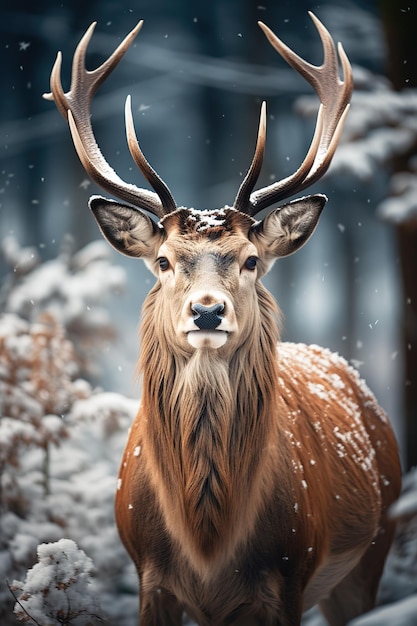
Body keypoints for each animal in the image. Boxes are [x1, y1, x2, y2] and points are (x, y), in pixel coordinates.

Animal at [44, 13, 402, 624]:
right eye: (164, 261)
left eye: (251, 259)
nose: (207, 310)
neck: (208, 539)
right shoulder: (148, 575)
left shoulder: (289, 577)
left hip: (374, 550)